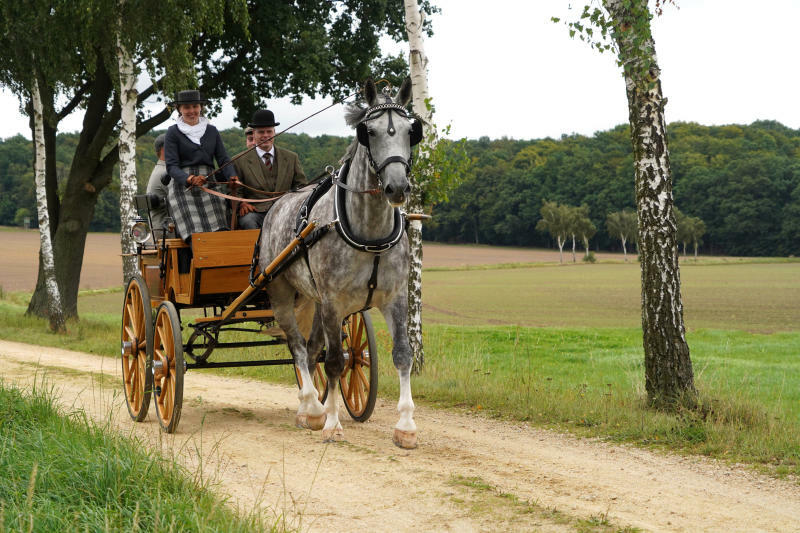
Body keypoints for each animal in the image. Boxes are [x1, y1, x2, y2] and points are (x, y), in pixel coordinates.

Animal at [260, 77, 422, 446]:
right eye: (369, 132)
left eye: (411, 131)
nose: (397, 188)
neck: (370, 233)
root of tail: (276, 204)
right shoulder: (334, 302)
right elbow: (334, 361)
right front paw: (333, 423)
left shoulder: (395, 298)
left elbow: (402, 354)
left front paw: (406, 425)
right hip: (281, 293)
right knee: (299, 347)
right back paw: (311, 407)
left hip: (315, 300)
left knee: (312, 347)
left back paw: (311, 406)